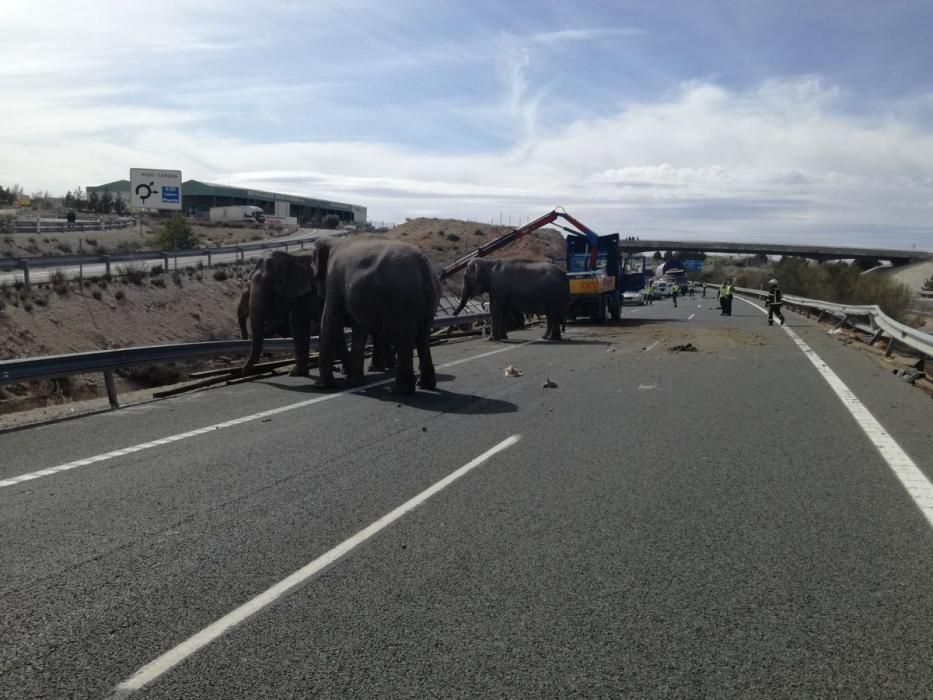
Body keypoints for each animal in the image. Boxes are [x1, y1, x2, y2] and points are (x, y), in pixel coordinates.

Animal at [306, 238, 436, 394]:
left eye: (314, 275)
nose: (341, 371)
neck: (333, 241)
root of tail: (422, 264)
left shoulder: (334, 280)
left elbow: (330, 320)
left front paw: (324, 386)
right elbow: (358, 329)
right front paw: (354, 383)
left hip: (402, 300)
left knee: (404, 340)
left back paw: (401, 390)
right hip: (429, 297)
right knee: (423, 338)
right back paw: (425, 385)